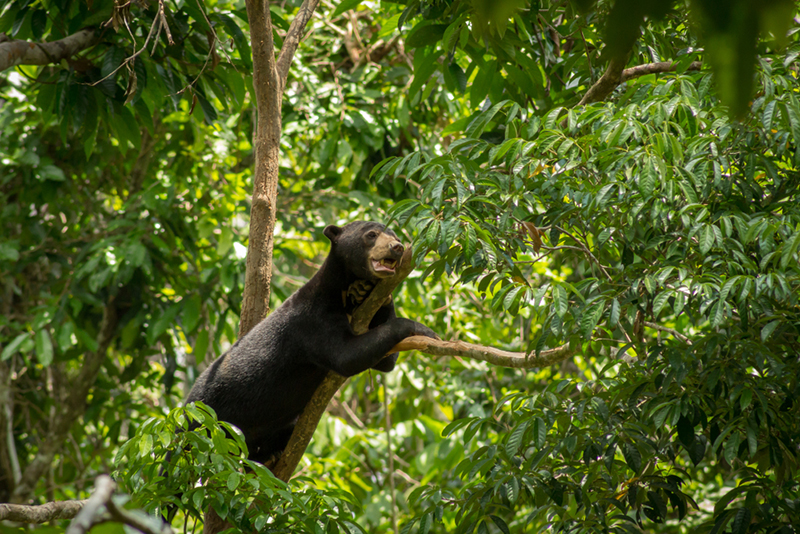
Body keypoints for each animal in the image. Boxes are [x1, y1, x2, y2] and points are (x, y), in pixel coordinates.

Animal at [184, 221, 438, 464]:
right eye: (371, 234)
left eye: (396, 236)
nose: (397, 248)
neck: (339, 291)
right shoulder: (312, 319)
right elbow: (346, 355)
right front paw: (425, 330)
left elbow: (385, 361)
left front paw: (365, 291)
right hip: (205, 422)